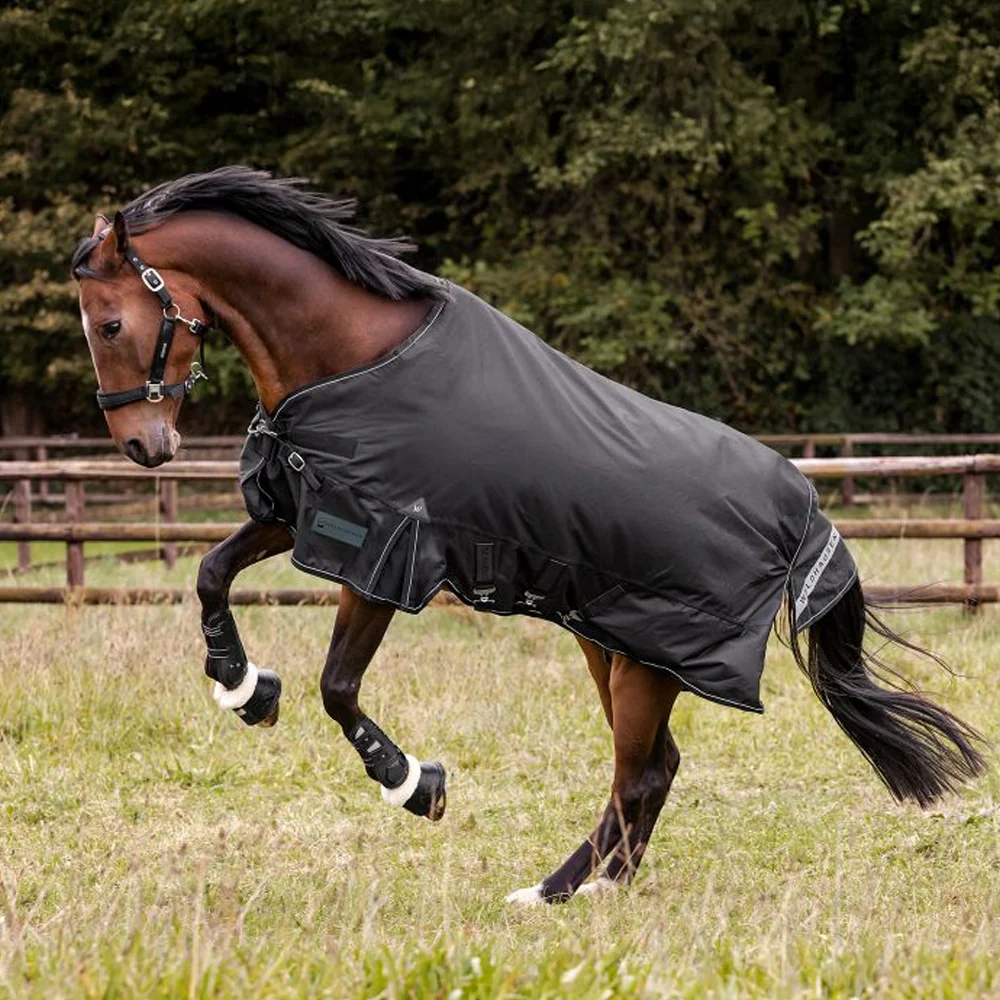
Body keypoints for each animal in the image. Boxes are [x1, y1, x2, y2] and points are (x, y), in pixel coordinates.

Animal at [71, 166, 986, 905]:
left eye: (110, 325)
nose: (143, 447)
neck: (355, 357)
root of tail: (802, 512)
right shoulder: (307, 507)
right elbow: (210, 574)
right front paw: (244, 688)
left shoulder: (385, 549)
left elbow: (338, 686)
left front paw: (415, 785)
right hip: (612, 645)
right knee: (654, 770)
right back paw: (600, 886)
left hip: (647, 663)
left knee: (639, 773)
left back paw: (554, 892)